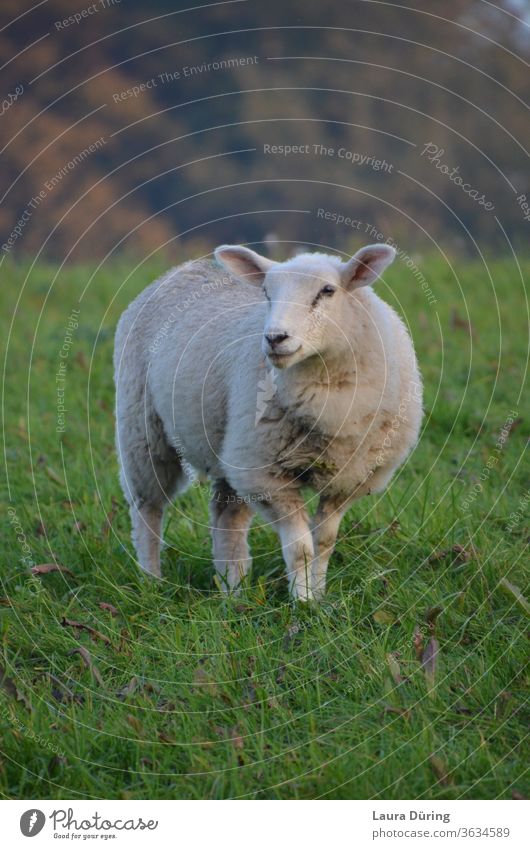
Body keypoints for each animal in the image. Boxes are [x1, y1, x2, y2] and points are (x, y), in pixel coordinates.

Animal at [114, 243, 420, 604]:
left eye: (327, 291)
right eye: (266, 293)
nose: (275, 338)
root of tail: (184, 268)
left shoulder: (348, 479)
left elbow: (324, 543)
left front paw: (319, 597)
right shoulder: (267, 476)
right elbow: (301, 548)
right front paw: (303, 603)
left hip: (230, 447)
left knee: (226, 518)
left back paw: (233, 591)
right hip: (142, 428)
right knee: (147, 508)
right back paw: (152, 581)